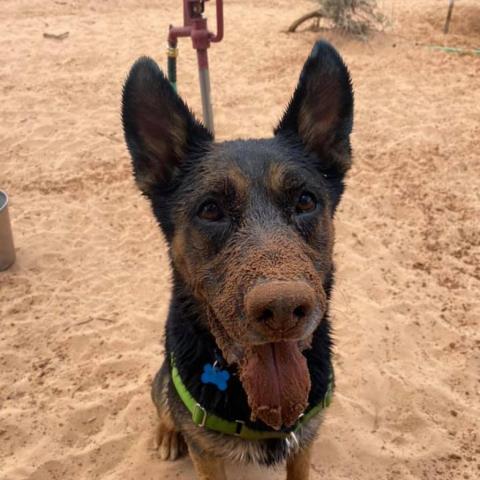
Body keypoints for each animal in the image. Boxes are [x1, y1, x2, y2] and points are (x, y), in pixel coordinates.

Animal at [120, 41, 352, 480]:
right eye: (210, 210)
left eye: (305, 201)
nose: (283, 310)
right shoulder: (206, 454)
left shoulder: (303, 444)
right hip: (162, 381)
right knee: (162, 404)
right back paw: (167, 435)